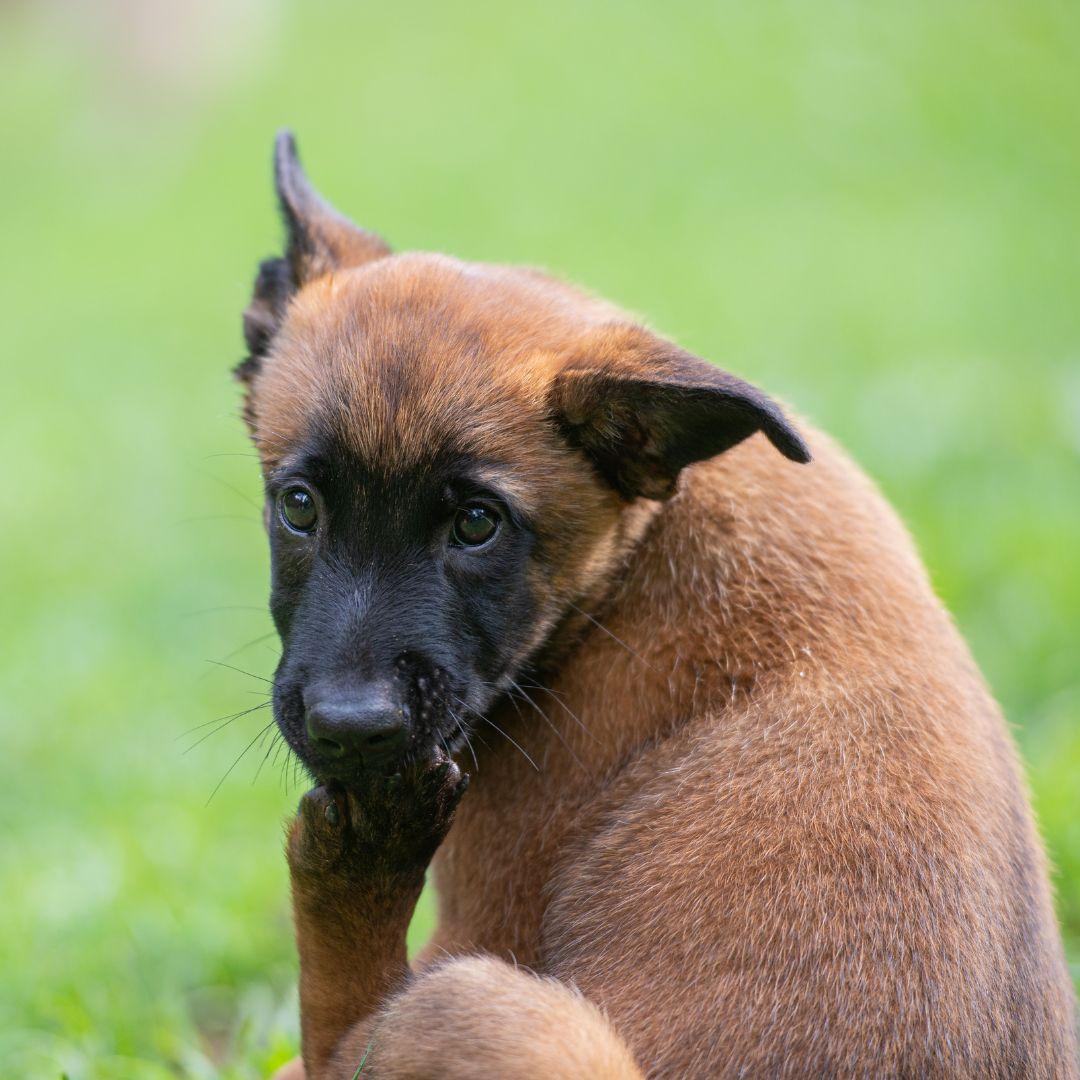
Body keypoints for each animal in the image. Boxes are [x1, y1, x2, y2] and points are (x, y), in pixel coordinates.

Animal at [238, 137, 1080, 1080]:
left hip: (483, 1002)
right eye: (298, 506)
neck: (634, 561)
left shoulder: (486, 898)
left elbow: (326, 1045)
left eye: (477, 525)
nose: (352, 729)